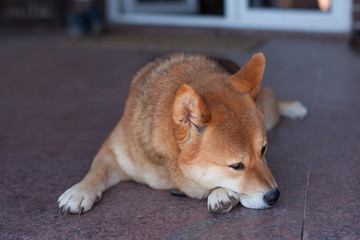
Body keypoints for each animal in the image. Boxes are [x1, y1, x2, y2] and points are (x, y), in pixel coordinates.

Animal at [57, 52, 306, 214]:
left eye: (263, 150)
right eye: (236, 166)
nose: (274, 196)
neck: (167, 171)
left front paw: (221, 193)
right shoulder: (112, 152)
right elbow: (96, 171)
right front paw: (79, 191)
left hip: (269, 112)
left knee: (271, 96)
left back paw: (293, 107)